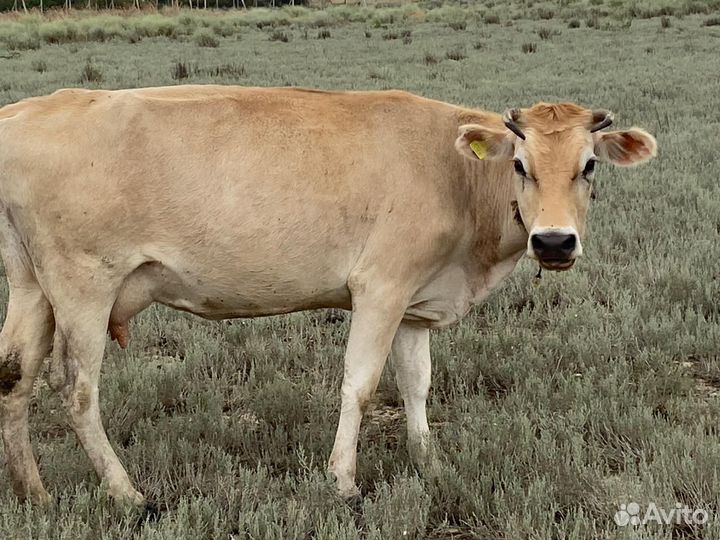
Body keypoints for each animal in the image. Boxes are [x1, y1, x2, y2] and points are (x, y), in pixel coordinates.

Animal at [0, 86, 656, 505]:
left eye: (589, 166)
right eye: (520, 163)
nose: (554, 241)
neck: (453, 172)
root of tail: (25, 112)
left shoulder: (414, 302)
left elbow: (416, 383)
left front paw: (430, 462)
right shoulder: (380, 287)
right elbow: (360, 385)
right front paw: (343, 481)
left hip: (31, 284)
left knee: (15, 376)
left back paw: (35, 492)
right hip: (83, 284)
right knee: (75, 388)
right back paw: (127, 493)